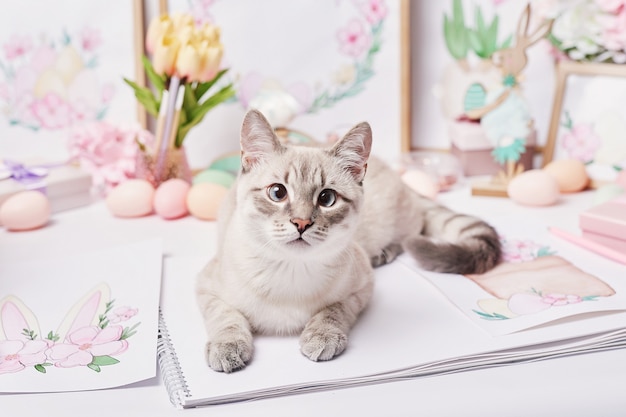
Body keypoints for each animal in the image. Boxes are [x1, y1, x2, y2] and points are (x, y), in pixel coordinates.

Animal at [195, 109, 498, 372]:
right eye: (277, 193)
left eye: (327, 198)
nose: (301, 223)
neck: (290, 269)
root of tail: (401, 178)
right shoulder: (206, 287)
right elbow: (226, 317)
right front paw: (227, 348)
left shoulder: (361, 288)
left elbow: (333, 311)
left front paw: (322, 337)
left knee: (409, 236)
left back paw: (383, 254)